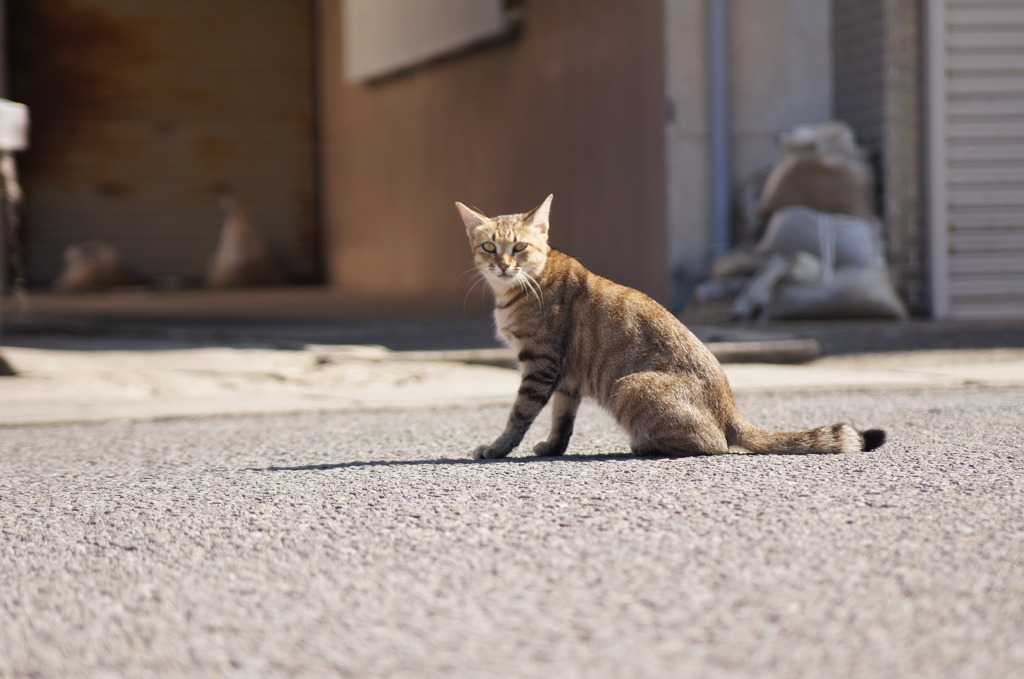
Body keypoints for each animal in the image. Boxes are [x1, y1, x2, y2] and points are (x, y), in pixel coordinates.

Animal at [452, 196, 884, 462]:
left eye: (520, 247)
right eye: (489, 247)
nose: (503, 265)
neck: (524, 285)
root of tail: (731, 412)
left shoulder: (540, 365)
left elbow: (519, 416)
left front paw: (497, 449)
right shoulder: (565, 377)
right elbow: (562, 420)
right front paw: (552, 447)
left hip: (630, 386)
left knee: (715, 445)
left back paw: (648, 447)